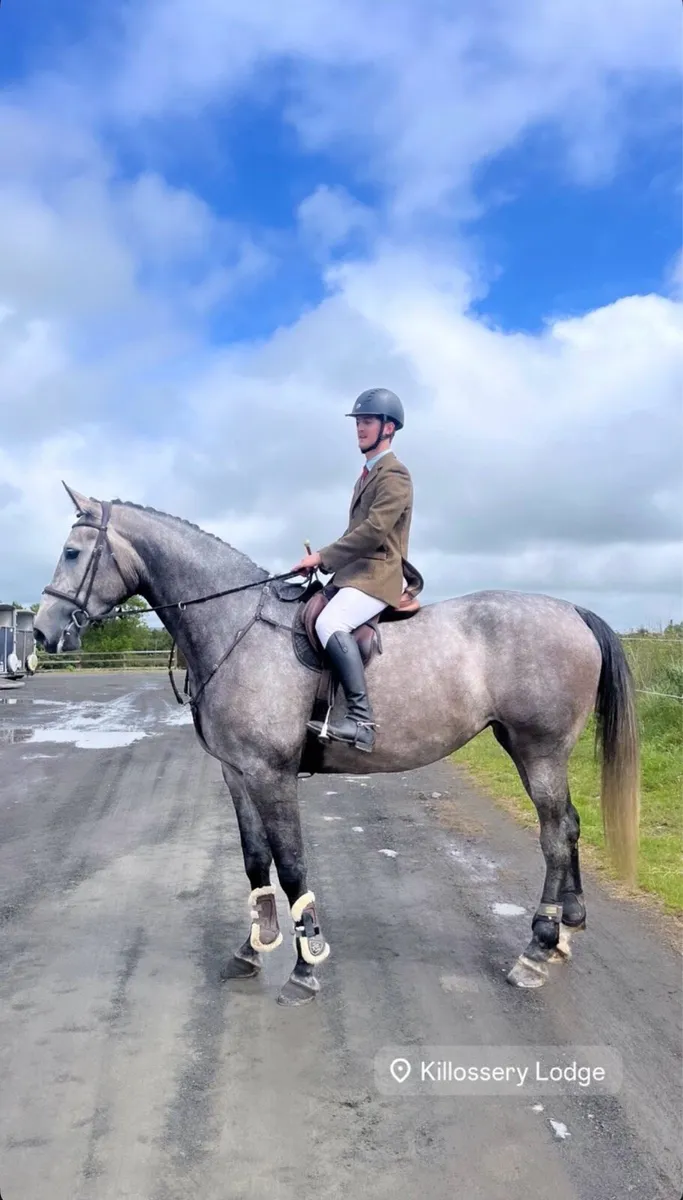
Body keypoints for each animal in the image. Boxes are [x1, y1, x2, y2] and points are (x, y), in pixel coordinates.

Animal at [33, 484, 640, 1006]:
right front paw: (253, 949)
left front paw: (305, 966)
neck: (236, 625)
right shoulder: (237, 772)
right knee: (569, 824)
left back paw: (536, 949)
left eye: (71, 551)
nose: (41, 633)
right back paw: (566, 929)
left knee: (554, 836)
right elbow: (255, 861)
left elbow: (291, 866)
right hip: (526, 747)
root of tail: (572, 610)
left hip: (540, 750)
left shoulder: (271, 774)